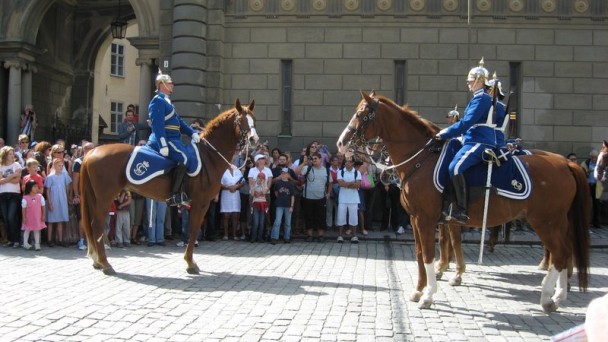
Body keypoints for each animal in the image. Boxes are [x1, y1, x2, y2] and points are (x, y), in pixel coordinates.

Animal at [80, 99, 256, 276]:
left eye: (254, 118)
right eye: (241, 120)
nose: (254, 139)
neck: (209, 157)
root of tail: (92, 152)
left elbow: (192, 229)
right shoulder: (201, 202)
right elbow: (193, 230)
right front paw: (190, 263)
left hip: (95, 198)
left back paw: (97, 261)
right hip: (104, 197)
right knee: (97, 225)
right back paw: (105, 263)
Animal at [338, 91, 588, 312]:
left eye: (360, 113)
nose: (341, 144)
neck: (420, 159)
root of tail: (565, 162)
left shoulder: (426, 219)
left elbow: (429, 253)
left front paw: (429, 294)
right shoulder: (418, 219)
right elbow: (420, 253)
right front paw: (420, 290)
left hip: (546, 222)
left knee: (560, 253)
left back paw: (547, 297)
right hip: (558, 222)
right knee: (566, 252)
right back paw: (559, 294)